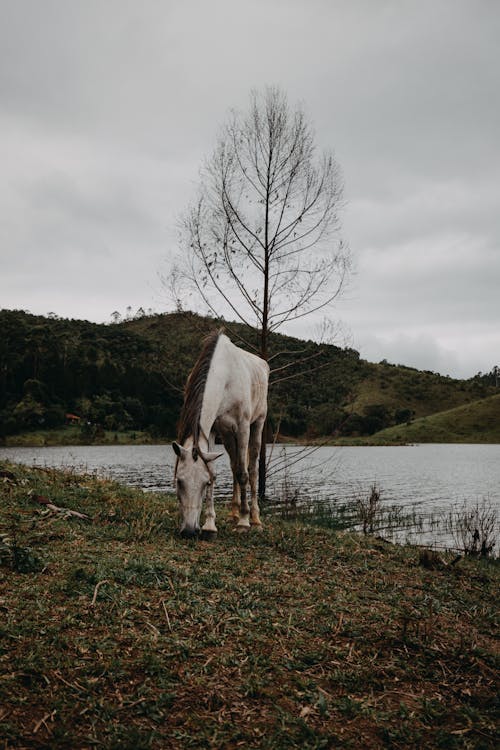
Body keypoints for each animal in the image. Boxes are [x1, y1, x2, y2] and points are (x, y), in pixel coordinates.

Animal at [174, 332, 272, 536]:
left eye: (204, 484)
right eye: (179, 481)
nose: (189, 531)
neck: (225, 378)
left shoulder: (243, 427)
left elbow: (243, 473)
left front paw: (244, 522)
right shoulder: (212, 429)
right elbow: (216, 470)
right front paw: (210, 524)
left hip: (258, 424)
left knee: (251, 468)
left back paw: (255, 519)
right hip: (227, 436)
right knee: (234, 465)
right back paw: (233, 513)